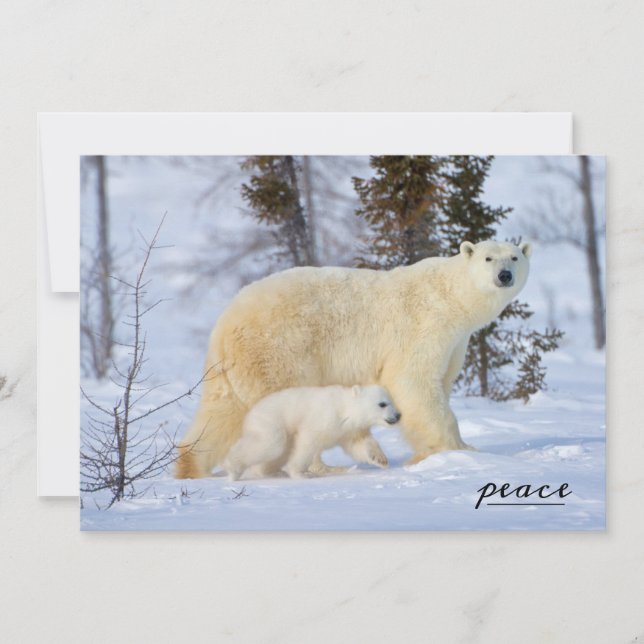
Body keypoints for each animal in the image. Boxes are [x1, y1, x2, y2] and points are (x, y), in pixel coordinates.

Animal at [222, 384, 401, 480]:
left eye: (392, 401)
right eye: (382, 404)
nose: (398, 415)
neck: (344, 409)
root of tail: (250, 413)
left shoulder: (349, 430)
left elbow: (359, 445)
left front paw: (381, 459)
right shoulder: (323, 418)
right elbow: (308, 443)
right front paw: (300, 474)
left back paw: (273, 472)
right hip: (271, 421)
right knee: (271, 444)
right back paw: (234, 469)